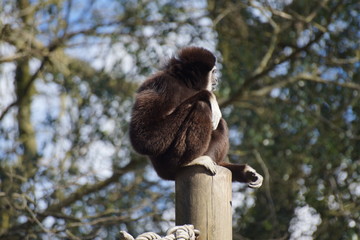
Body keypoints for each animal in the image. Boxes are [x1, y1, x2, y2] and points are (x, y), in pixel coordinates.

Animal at [129, 47, 262, 188]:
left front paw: (246, 172)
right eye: (214, 72)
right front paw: (208, 95)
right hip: (169, 160)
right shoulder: (162, 84)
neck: (184, 82)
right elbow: (144, 139)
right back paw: (190, 161)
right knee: (202, 107)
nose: (217, 79)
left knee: (220, 122)